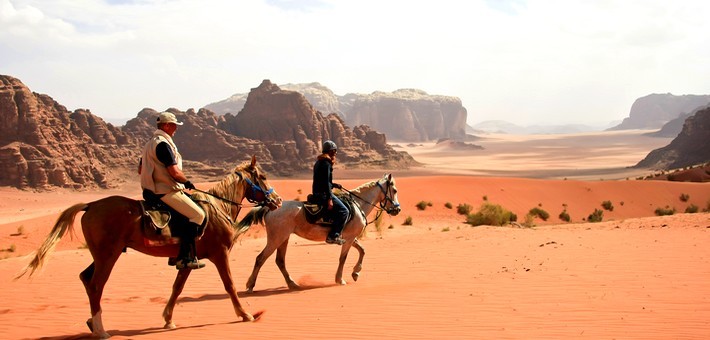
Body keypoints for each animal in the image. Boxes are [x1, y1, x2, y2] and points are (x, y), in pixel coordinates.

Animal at [16, 155, 280, 338]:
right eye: (264, 176)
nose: (276, 200)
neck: (216, 207)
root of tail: (90, 205)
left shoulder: (188, 259)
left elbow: (177, 288)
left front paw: (168, 319)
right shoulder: (219, 253)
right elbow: (230, 285)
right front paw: (245, 314)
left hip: (101, 255)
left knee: (85, 277)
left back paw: (92, 323)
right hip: (109, 255)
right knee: (95, 285)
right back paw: (101, 330)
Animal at [238, 174, 400, 290]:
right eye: (395, 190)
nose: (397, 209)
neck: (357, 204)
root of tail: (270, 208)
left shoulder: (349, 237)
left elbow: (362, 250)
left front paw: (356, 272)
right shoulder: (348, 239)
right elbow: (343, 258)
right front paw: (340, 279)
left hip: (283, 238)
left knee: (280, 261)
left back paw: (292, 284)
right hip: (276, 239)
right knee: (260, 258)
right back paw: (250, 285)